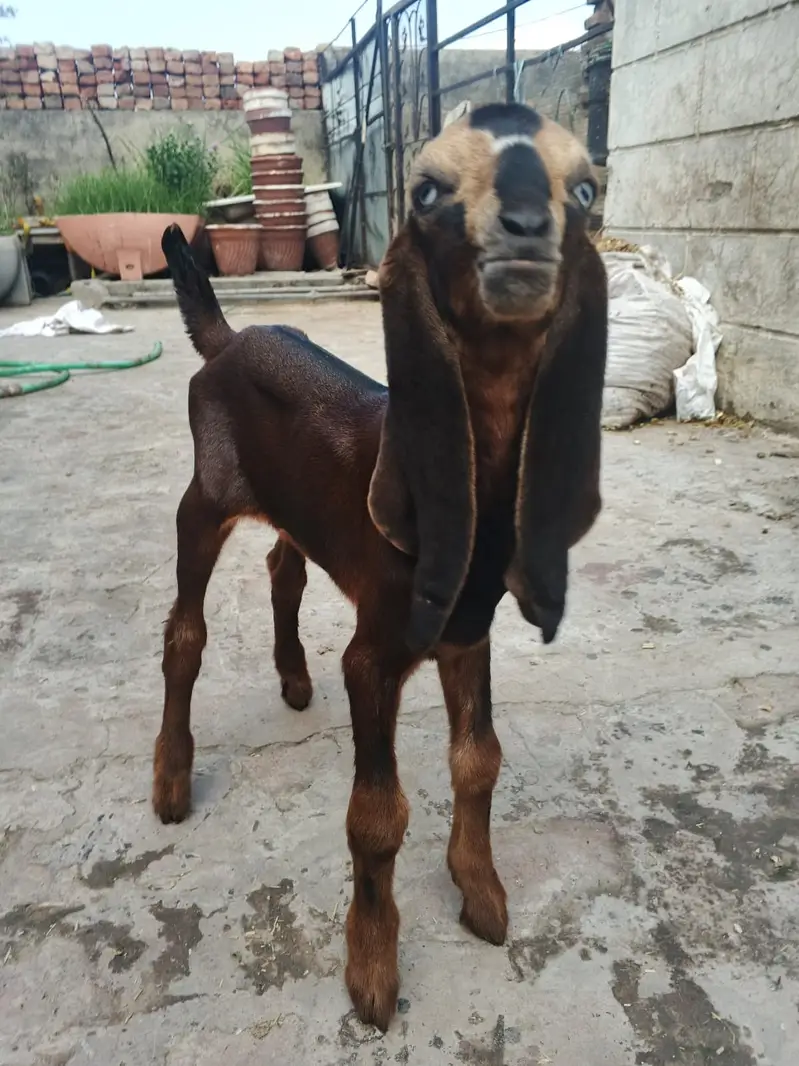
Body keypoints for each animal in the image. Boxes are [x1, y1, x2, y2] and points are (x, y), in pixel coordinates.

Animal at [154, 102, 607, 1031]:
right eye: (429, 191)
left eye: (584, 188)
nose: (525, 236)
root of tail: (227, 341)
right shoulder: (374, 658)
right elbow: (376, 816)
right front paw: (371, 971)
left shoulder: (468, 637)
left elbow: (480, 759)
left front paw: (480, 892)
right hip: (203, 499)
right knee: (186, 632)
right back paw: (173, 778)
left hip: (297, 508)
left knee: (283, 568)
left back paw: (292, 678)